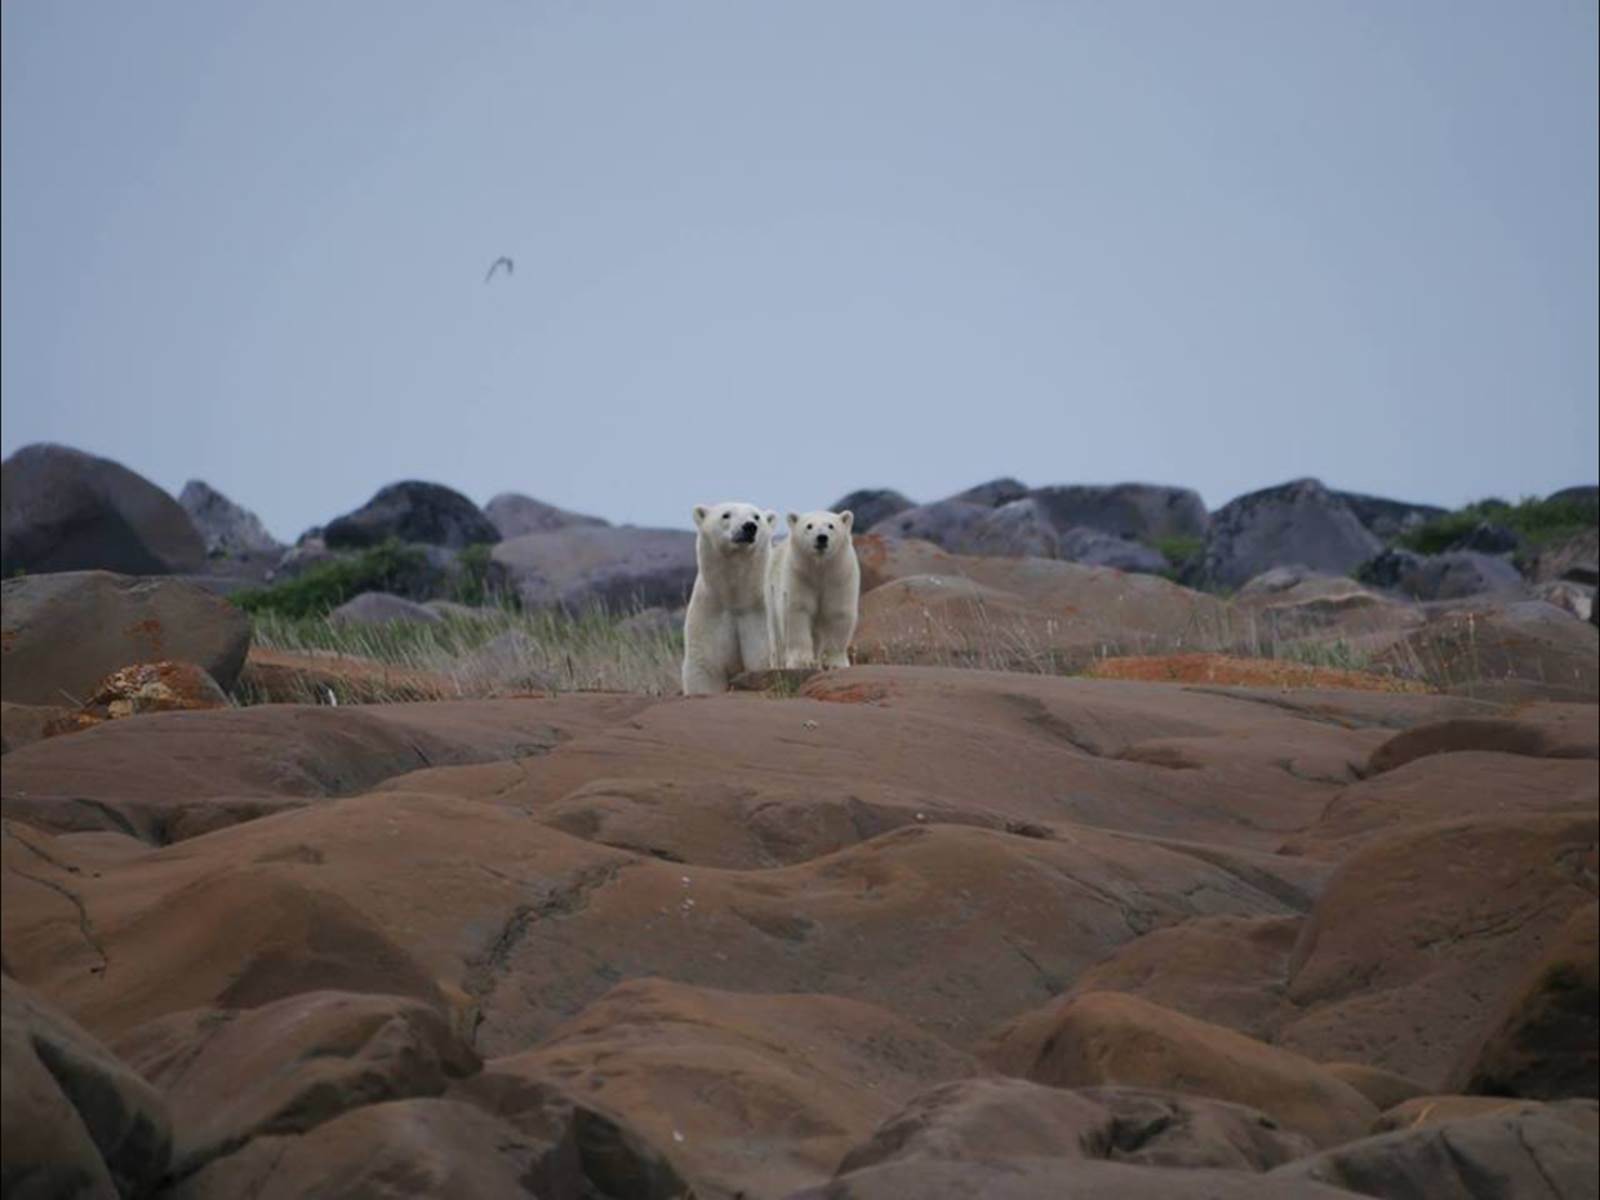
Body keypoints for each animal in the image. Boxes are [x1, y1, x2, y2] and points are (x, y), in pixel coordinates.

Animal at [682, 500, 778, 695]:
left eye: (756, 516)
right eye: (726, 515)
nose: (749, 526)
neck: (737, 598)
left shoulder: (761, 614)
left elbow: (762, 658)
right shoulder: (711, 611)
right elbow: (706, 666)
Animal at [767, 508, 860, 669]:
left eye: (831, 526)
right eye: (809, 526)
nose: (821, 538)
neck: (820, 567)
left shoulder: (840, 577)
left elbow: (838, 613)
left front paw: (836, 663)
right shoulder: (798, 576)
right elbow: (797, 611)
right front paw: (801, 661)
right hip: (770, 591)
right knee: (775, 633)